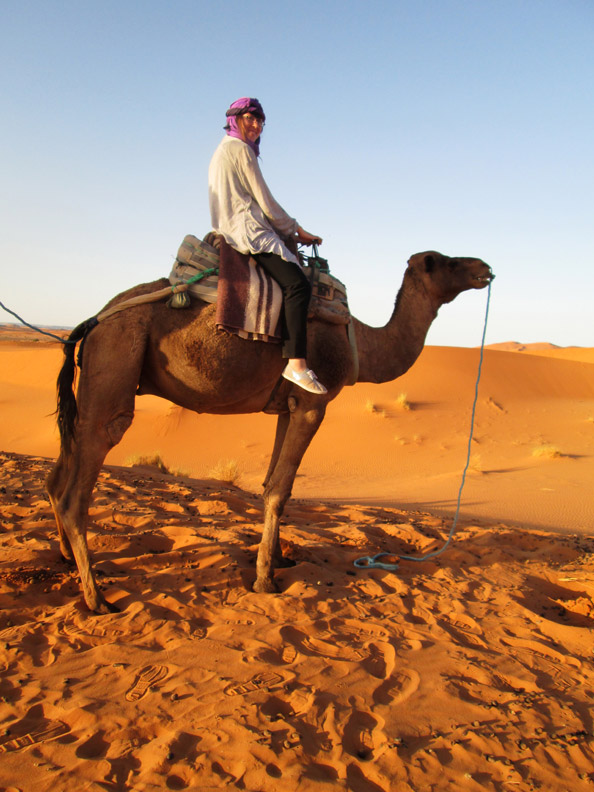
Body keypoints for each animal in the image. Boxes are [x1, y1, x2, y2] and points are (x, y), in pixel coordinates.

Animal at [45, 249, 490, 612]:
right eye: (447, 262)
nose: (484, 268)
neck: (359, 343)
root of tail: (94, 321)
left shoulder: (286, 406)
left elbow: (275, 484)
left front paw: (280, 559)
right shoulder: (313, 404)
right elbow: (279, 489)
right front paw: (265, 580)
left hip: (95, 382)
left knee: (59, 472)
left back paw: (66, 558)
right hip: (117, 358)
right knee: (80, 481)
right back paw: (97, 598)